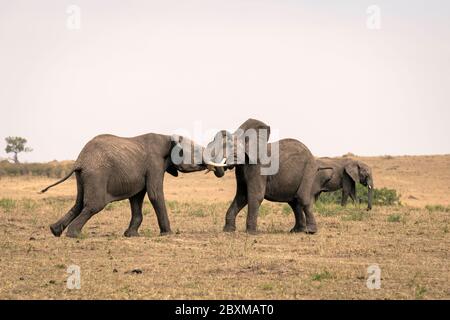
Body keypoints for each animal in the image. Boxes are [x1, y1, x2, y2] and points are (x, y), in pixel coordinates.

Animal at [40, 132, 223, 238]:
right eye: (196, 152)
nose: (218, 171)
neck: (168, 136)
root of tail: (80, 160)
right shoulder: (154, 163)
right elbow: (155, 194)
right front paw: (168, 234)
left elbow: (136, 198)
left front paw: (130, 235)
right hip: (97, 174)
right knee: (94, 205)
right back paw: (73, 234)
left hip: (83, 177)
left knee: (78, 203)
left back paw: (55, 231)